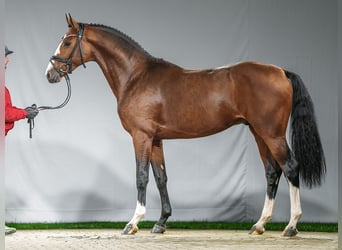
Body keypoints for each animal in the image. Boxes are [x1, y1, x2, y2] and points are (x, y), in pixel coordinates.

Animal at [45, 14, 326, 237]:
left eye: (67, 41)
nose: (50, 73)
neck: (136, 77)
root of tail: (281, 72)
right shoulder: (156, 139)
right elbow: (161, 178)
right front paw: (161, 223)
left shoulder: (141, 136)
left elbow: (141, 177)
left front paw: (133, 222)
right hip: (258, 132)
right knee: (272, 172)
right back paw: (259, 225)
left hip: (271, 133)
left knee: (290, 167)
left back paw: (291, 226)